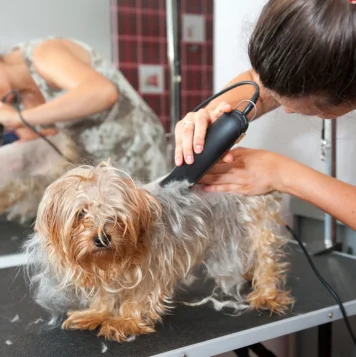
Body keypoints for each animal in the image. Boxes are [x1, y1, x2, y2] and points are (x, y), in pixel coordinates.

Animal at [23, 161, 294, 340]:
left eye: (115, 215)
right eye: (81, 213)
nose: (102, 238)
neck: (114, 259)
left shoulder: (153, 267)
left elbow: (140, 296)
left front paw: (125, 321)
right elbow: (106, 295)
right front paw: (97, 313)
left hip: (256, 222)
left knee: (266, 258)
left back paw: (267, 294)